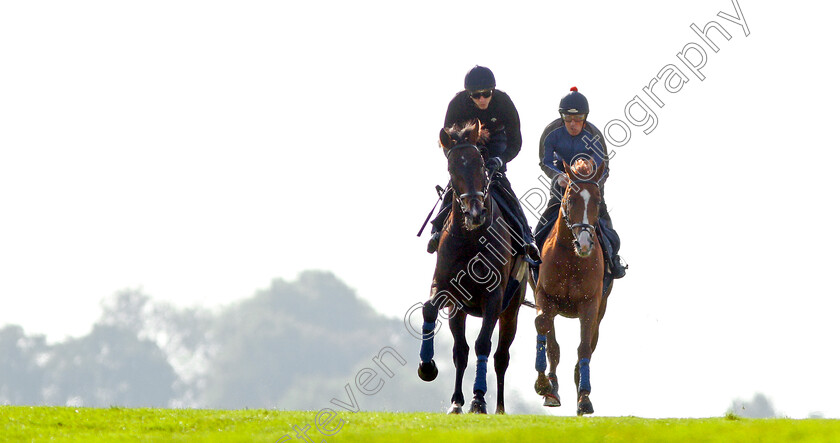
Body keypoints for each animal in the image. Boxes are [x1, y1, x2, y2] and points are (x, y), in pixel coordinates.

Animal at [418, 120, 528, 416]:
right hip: (458, 311)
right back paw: (457, 400)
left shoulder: (494, 297)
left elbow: (483, 344)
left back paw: (499, 406)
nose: (476, 213)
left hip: (511, 311)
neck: (471, 238)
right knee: (461, 350)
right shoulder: (446, 290)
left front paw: (479, 399)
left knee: (501, 356)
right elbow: (429, 309)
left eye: (480, 164)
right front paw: (427, 367)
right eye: (452, 168)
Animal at [536, 159, 612, 416]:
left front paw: (584, 397)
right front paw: (545, 386)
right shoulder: (544, 296)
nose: (585, 243)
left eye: (597, 200)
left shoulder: (590, 304)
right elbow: (549, 339)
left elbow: (584, 348)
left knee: (589, 344)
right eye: (570, 198)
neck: (571, 256)